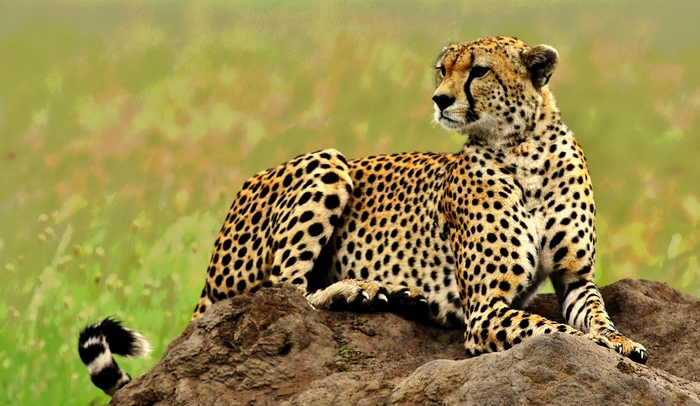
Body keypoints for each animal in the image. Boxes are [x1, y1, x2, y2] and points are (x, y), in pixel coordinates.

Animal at [78, 36, 647, 397]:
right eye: (442, 70)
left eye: (479, 70)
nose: (439, 99)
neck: (525, 148)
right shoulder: (487, 310)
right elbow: (556, 332)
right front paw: (598, 346)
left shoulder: (575, 277)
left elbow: (595, 316)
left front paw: (624, 343)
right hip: (327, 161)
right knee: (287, 290)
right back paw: (363, 290)